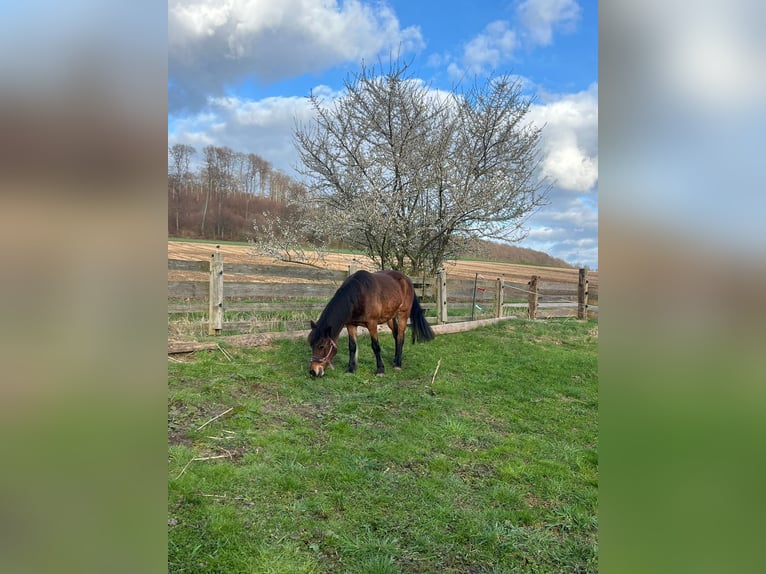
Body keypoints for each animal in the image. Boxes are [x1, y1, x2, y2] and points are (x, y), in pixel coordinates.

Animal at [308, 270, 436, 378]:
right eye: (311, 345)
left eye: (321, 346)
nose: (313, 371)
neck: (358, 296)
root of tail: (407, 280)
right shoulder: (351, 325)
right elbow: (352, 346)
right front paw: (351, 369)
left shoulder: (372, 324)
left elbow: (375, 346)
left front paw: (380, 370)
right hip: (390, 317)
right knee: (395, 335)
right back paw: (395, 360)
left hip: (403, 314)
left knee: (400, 336)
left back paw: (398, 364)